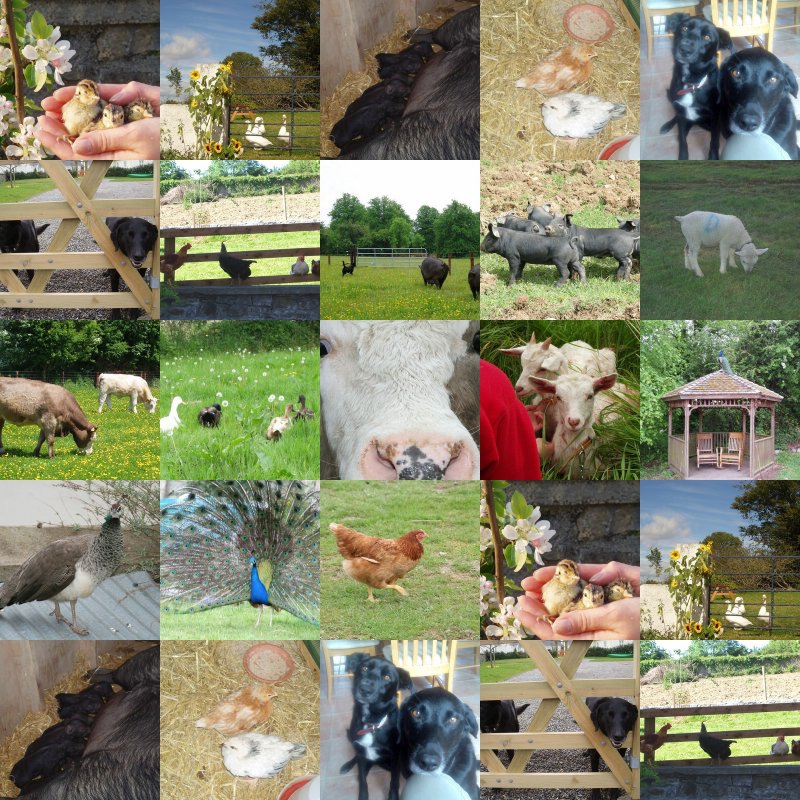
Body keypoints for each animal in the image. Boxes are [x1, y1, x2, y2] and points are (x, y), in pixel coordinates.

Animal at [340, 652, 412, 800]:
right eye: (364, 668)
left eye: (387, 677)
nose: (364, 689)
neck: (372, 724)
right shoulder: (362, 755)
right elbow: (362, 780)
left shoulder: (395, 758)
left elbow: (394, 782)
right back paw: (347, 765)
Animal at [660, 15, 728, 158]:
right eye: (684, 28)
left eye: (707, 37)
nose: (685, 49)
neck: (691, 84)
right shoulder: (681, 114)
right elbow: (682, 139)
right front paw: (683, 156)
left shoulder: (715, 118)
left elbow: (714, 141)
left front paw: (713, 157)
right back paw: (667, 125)